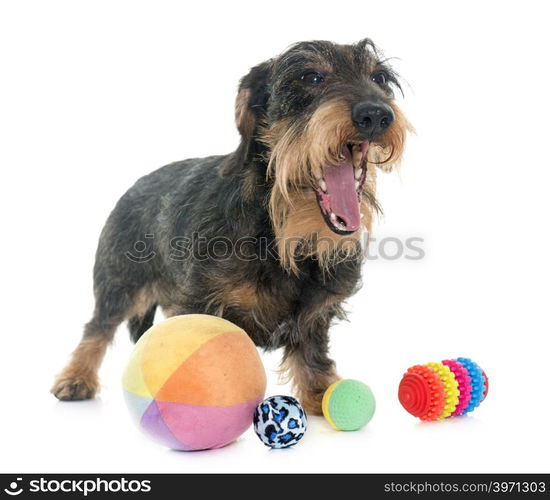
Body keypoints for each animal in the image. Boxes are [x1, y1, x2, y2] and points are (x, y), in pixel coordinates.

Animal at [51, 39, 412, 414]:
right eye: (310, 76)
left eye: (379, 78)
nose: (376, 115)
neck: (282, 236)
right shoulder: (199, 304)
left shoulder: (315, 314)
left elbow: (312, 354)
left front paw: (320, 394)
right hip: (119, 284)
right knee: (97, 327)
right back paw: (76, 377)